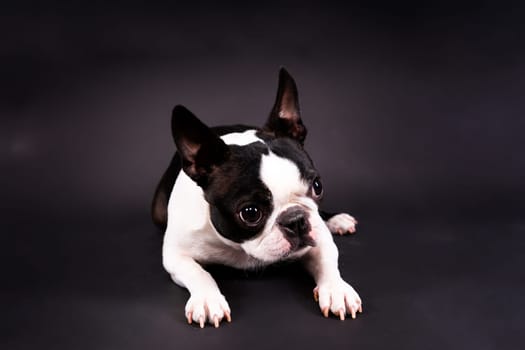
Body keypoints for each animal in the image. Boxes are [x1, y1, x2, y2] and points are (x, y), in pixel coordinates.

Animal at [151, 68, 362, 328]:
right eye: (250, 213)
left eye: (317, 186)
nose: (296, 220)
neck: (240, 248)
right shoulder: (175, 255)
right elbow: (199, 273)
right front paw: (208, 300)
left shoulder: (319, 238)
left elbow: (327, 262)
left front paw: (337, 290)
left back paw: (336, 220)